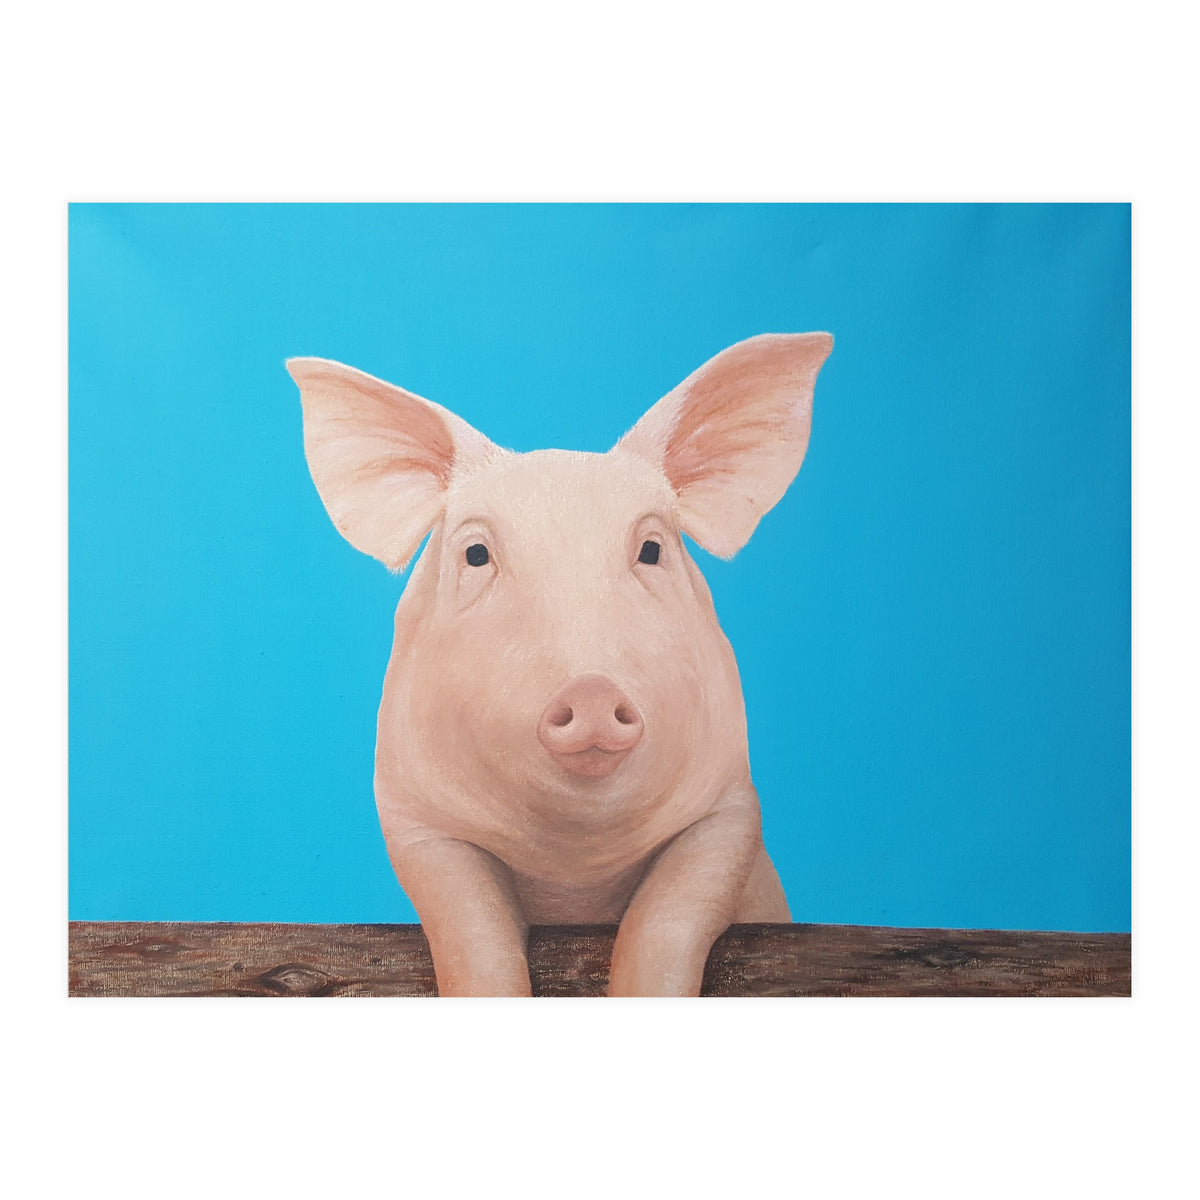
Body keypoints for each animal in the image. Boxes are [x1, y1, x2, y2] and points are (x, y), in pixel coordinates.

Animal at [288, 332, 833, 997]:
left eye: (652, 549)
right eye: (476, 554)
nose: (592, 690)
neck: (573, 867)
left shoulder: (730, 808)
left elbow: (667, 920)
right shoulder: (414, 819)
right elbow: (471, 931)